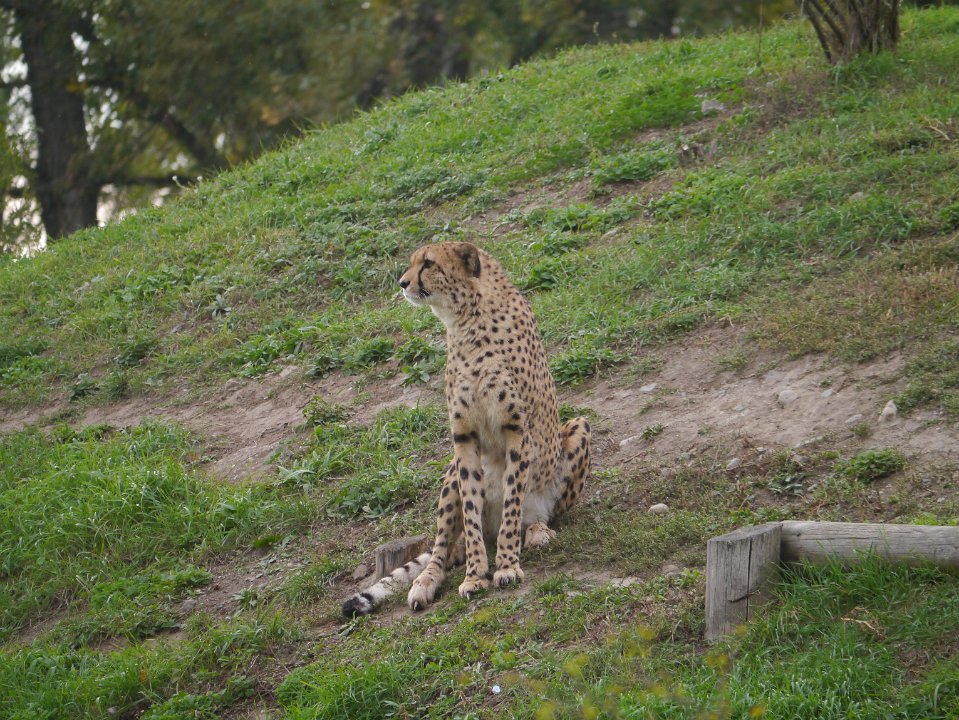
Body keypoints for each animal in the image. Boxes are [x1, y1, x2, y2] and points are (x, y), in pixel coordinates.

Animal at [341, 241, 590, 617]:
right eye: (414, 263)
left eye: (428, 264)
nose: (402, 282)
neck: (466, 322)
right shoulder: (463, 438)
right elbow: (471, 514)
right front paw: (475, 575)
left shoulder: (517, 429)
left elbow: (512, 503)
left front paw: (506, 566)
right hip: (449, 471)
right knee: (442, 549)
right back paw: (425, 583)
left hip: (578, 427)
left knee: (535, 515)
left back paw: (535, 532)